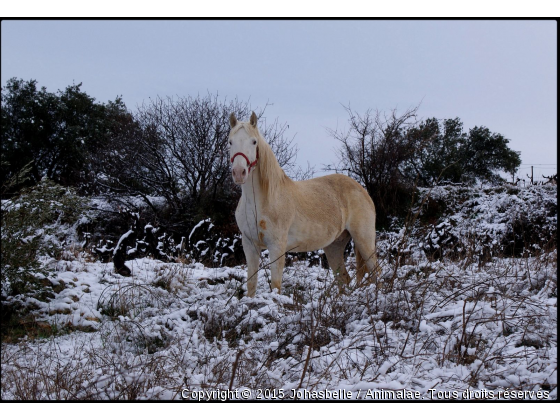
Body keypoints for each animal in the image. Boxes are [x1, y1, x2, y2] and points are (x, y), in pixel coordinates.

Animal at [229, 110, 380, 296]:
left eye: (254, 141)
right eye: (230, 142)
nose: (239, 172)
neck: (261, 201)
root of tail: (362, 190)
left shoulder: (276, 247)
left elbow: (276, 285)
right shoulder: (250, 245)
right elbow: (251, 284)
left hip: (364, 240)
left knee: (376, 272)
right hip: (334, 246)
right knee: (343, 278)